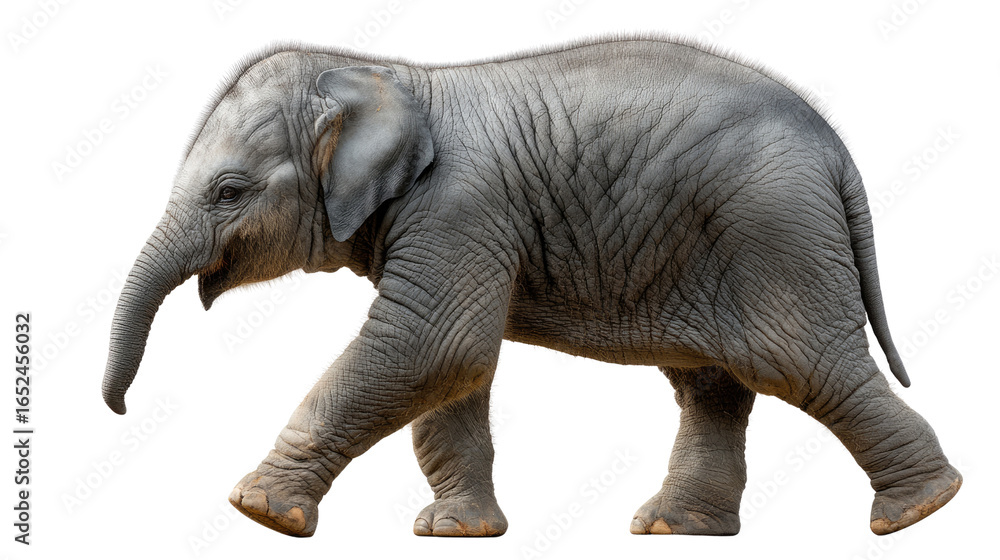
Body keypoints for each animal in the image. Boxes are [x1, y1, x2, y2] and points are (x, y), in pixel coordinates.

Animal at [102, 35, 961, 538]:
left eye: (229, 192)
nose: (120, 410)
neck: (389, 77)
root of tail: (837, 149)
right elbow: (451, 372)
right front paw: (455, 534)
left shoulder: (458, 206)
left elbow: (433, 347)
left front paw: (259, 513)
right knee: (713, 385)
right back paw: (673, 529)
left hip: (774, 234)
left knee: (804, 365)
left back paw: (921, 510)